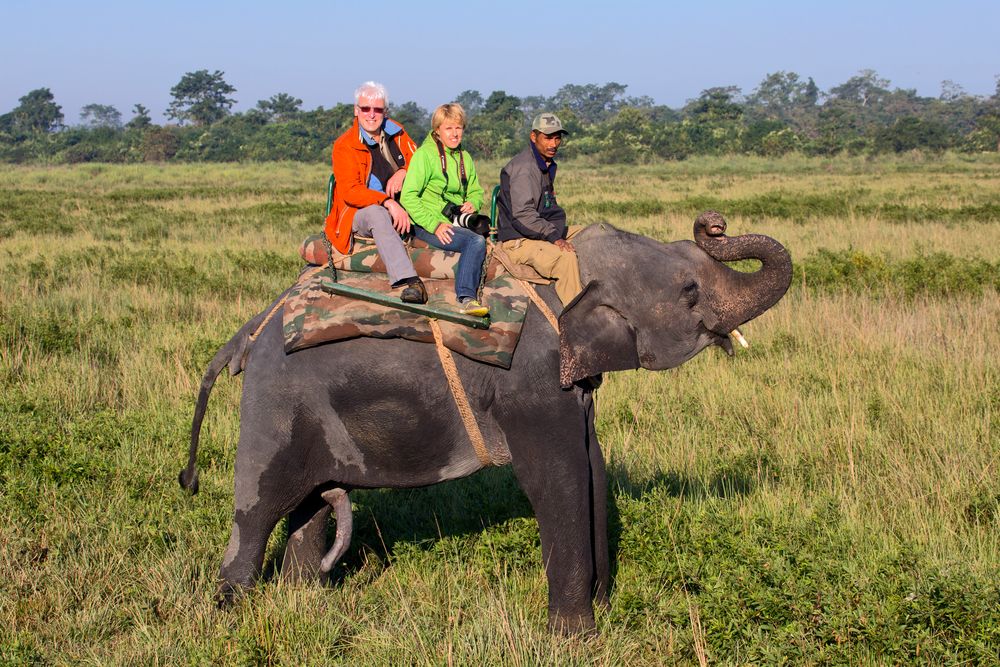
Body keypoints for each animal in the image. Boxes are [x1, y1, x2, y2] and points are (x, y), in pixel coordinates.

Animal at [178, 211, 788, 636]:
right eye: (689, 292)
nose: (713, 222)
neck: (569, 272)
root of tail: (250, 330)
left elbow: (592, 467)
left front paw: (602, 612)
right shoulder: (532, 382)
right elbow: (557, 478)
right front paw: (575, 639)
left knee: (309, 509)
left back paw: (302, 605)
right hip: (273, 405)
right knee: (258, 510)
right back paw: (232, 617)